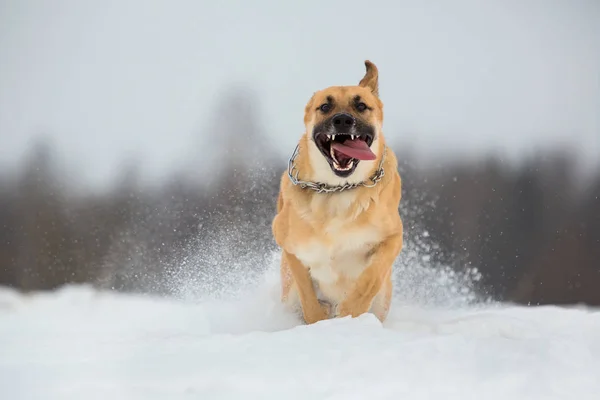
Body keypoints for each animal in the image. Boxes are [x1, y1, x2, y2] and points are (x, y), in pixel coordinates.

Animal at [272, 60, 404, 324]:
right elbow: (306, 292)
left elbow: (372, 276)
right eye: (325, 106)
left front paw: (350, 312)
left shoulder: (393, 236)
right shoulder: (290, 245)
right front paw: (319, 317)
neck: (336, 190)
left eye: (361, 105)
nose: (342, 120)